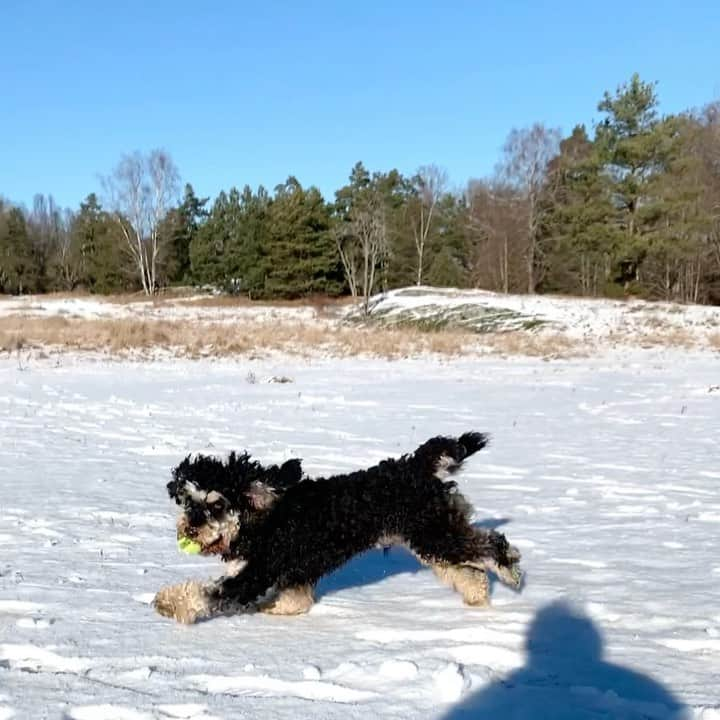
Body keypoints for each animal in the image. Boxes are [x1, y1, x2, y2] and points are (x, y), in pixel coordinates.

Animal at [153, 434, 524, 624]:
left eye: (216, 505)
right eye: (188, 502)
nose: (190, 530)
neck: (261, 519)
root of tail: (415, 467)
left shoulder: (254, 574)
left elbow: (207, 593)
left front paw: (169, 602)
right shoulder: (293, 571)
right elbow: (295, 600)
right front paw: (278, 609)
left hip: (435, 533)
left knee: (489, 544)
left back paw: (509, 571)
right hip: (429, 538)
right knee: (467, 568)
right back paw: (477, 594)